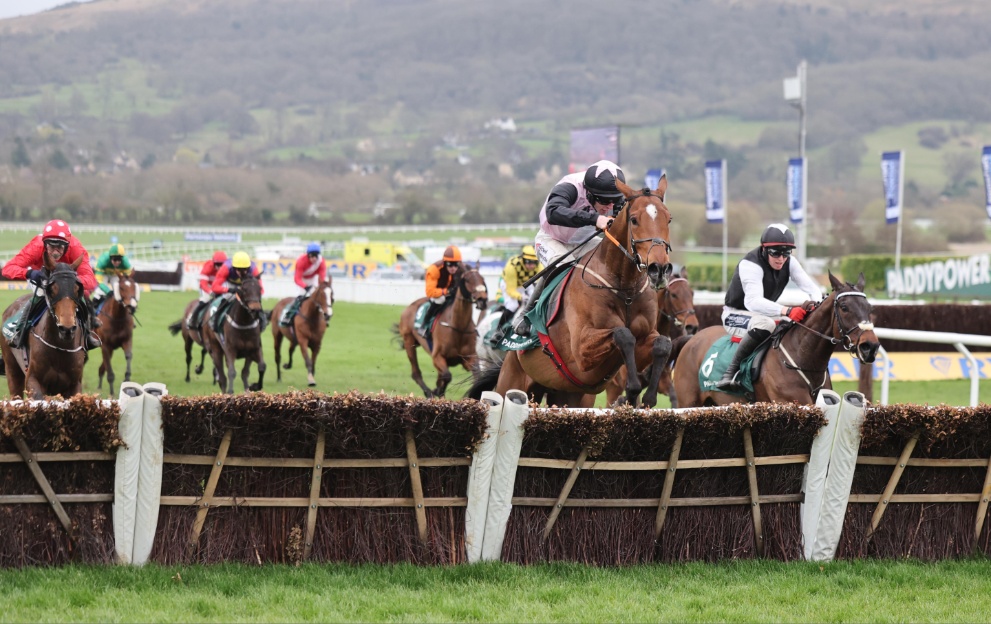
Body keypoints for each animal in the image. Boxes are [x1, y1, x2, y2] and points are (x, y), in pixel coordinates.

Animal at [0, 258, 87, 400]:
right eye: (51, 289)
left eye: (77, 289)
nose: (66, 329)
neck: (60, 347)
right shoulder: (32, 380)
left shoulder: (74, 385)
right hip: (12, 369)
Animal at [394, 266, 490, 398]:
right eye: (467, 280)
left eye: (482, 279)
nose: (482, 300)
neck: (457, 327)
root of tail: (409, 307)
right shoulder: (437, 357)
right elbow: (447, 376)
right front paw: (437, 391)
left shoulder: (469, 358)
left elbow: (477, 376)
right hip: (409, 342)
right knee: (416, 373)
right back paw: (429, 392)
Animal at [464, 178, 676, 408]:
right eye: (634, 220)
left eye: (669, 219)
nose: (659, 269)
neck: (624, 288)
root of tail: (507, 359)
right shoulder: (582, 351)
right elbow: (623, 334)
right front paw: (632, 391)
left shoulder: (643, 340)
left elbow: (663, 344)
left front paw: (647, 397)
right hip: (511, 384)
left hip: (567, 396)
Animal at [672, 270, 880, 408]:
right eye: (844, 307)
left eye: (870, 307)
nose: (870, 346)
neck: (803, 358)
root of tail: (692, 339)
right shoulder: (790, 402)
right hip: (689, 402)